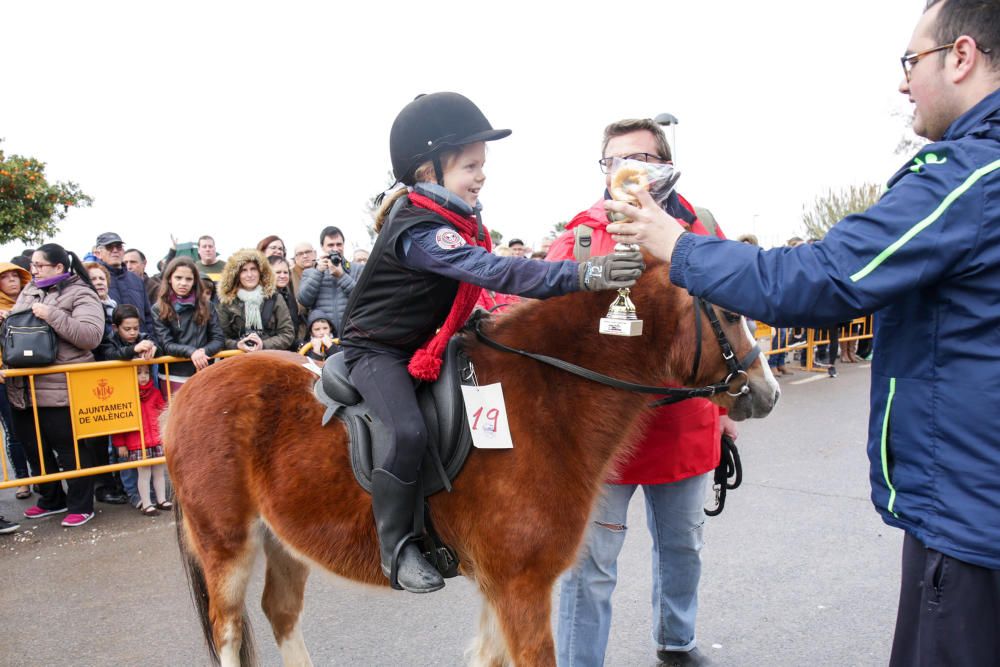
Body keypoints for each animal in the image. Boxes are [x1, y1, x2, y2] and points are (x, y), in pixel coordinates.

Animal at [166, 258, 780, 664]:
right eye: (729, 313)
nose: (767, 390)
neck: (546, 395)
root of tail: (189, 389)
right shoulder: (521, 588)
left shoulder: (500, 589)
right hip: (227, 547)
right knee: (228, 632)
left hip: (284, 540)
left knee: (280, 613)